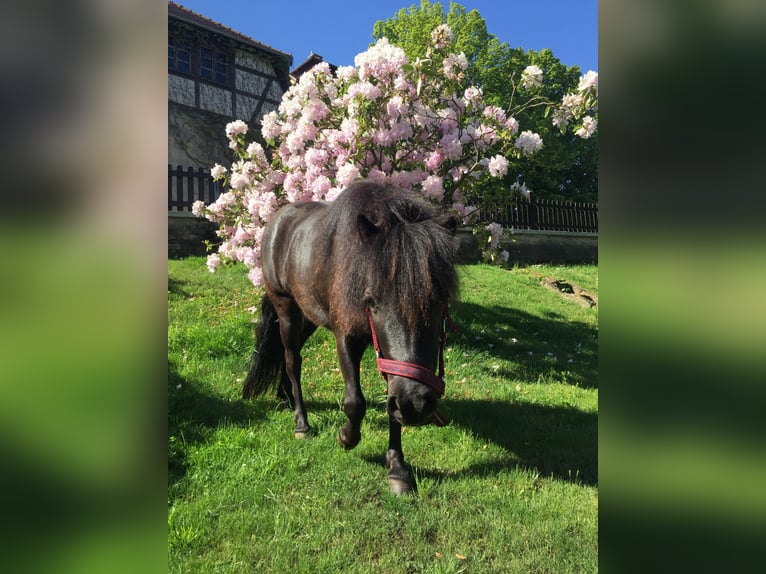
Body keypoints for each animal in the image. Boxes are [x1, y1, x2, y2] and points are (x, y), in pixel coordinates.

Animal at [246, 181, 460, 496]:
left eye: (440, 300)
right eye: (372, 301)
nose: (416, 404)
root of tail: (277, 220)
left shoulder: (391, 362)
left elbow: (390, 404)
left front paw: (397, 469)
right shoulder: (346, 337)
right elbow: (355, 402)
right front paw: (346, 437)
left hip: (308, 315)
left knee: (288, 356)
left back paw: (285, 398)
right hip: (286, 309)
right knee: (292, 360)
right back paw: (301, 423)